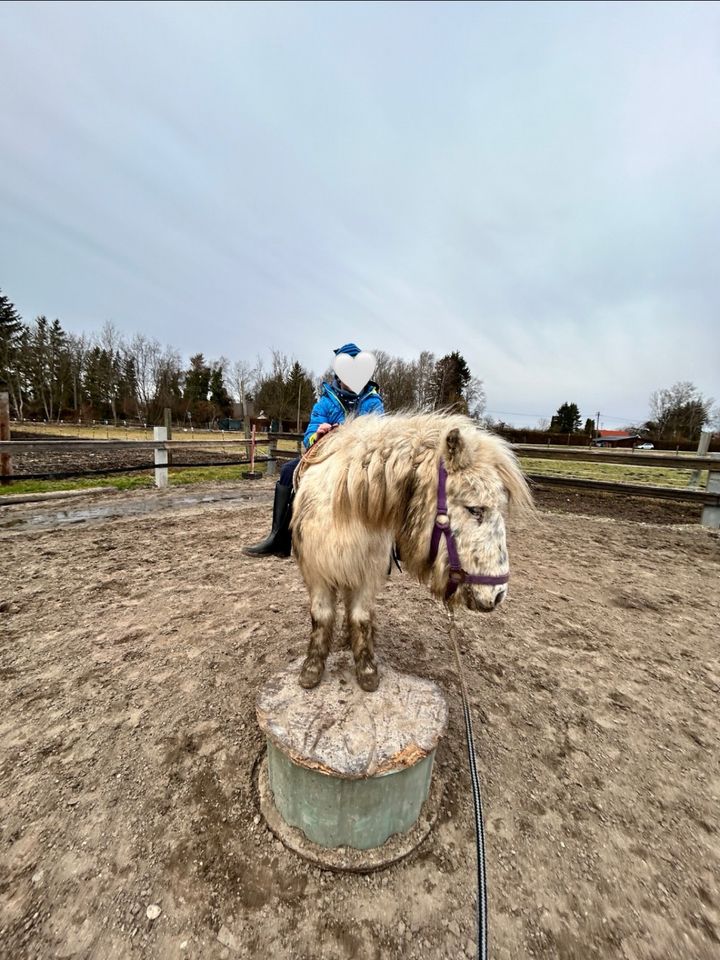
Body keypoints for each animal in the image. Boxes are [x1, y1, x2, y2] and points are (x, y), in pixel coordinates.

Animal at [290, 410, 532, 688]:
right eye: (475, 509)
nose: (499, 594)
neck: (347, 501)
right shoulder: (317, 571)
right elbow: (321, 616)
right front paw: (312, 669)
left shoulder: (366, 573)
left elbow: (360, 616)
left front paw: (367, 671)